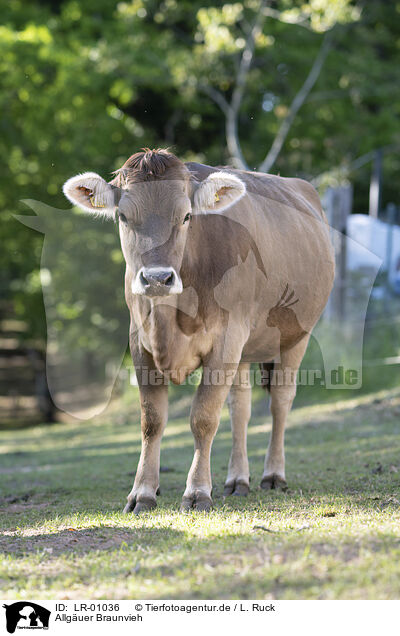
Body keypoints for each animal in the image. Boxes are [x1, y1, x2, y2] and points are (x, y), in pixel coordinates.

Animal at [63, 148, 334, 512]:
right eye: (122, 216)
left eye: (186, 216)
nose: (157, 278)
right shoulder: (140, 343)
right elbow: (152, 421)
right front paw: (142, 492)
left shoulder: (226, 340)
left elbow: (203, 418)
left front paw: (197, 492)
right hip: (244, 352)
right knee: (240, 407)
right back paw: (238, 480)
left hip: (295, 336)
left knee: (280, 401)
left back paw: (273, 475)